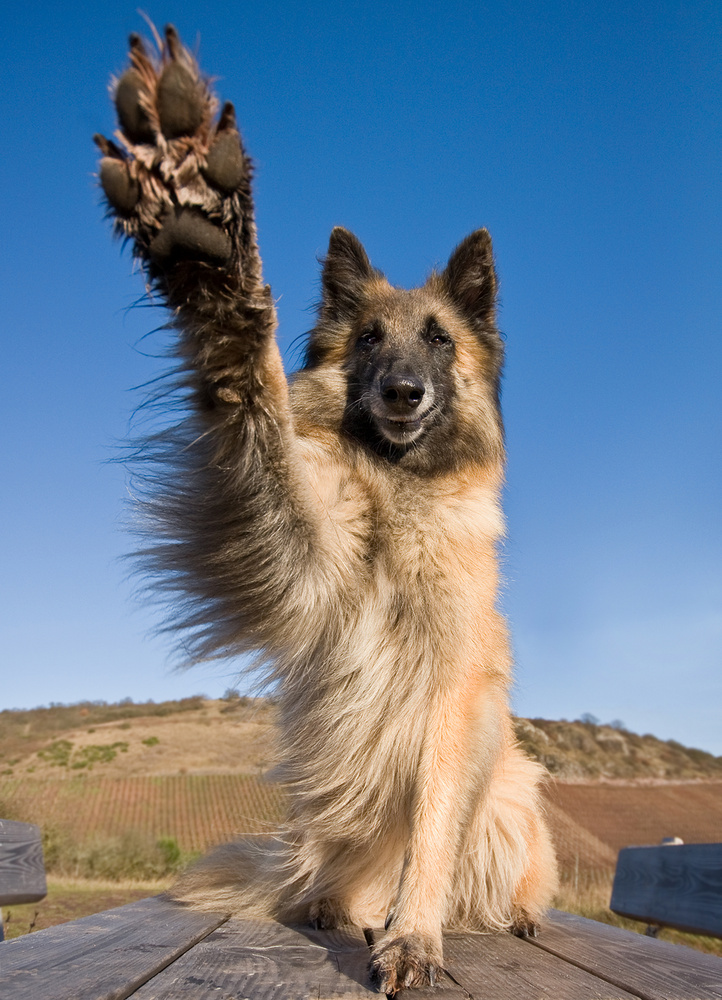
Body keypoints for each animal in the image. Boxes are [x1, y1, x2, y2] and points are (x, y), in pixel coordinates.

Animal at [95, 23, 556, 992]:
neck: (397, 501)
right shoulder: (297, 553)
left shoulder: (452, 704)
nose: (404, 394)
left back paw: (511, 915)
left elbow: (431, 831)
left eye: (439, 341)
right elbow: (262, 418)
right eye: (370, 339)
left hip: (514, 800)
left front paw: (414, 935)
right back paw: (332, 904)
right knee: (334, 876)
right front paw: (214, 267)